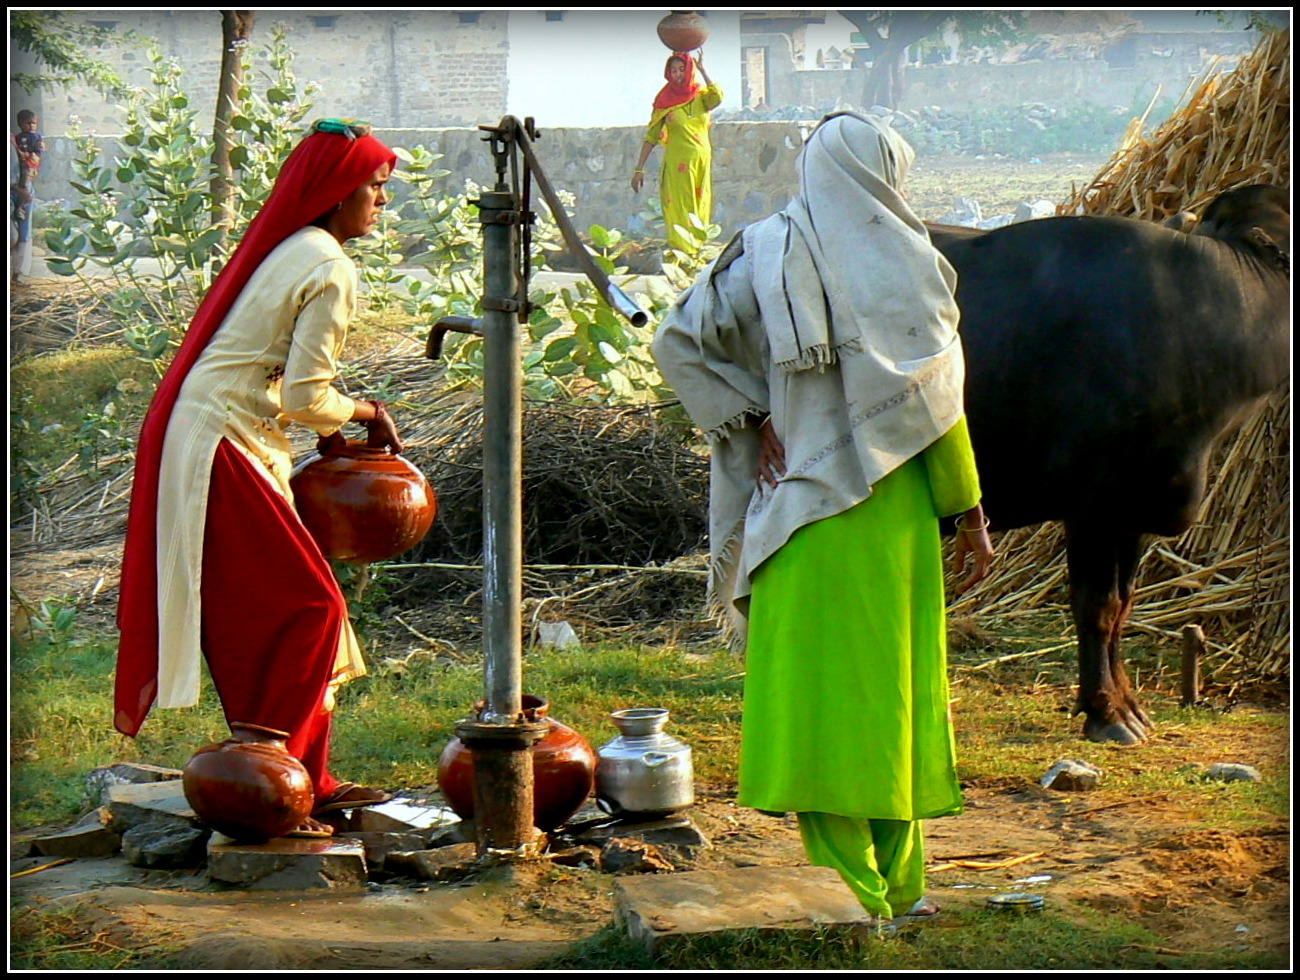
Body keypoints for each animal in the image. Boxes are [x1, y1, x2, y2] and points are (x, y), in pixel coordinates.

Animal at [930, 184, 1284, 738]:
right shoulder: (1091, 508)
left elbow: (1124, 605)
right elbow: (1096, 606)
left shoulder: (1133, 509)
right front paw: (1106, 713)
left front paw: (1128, 704)